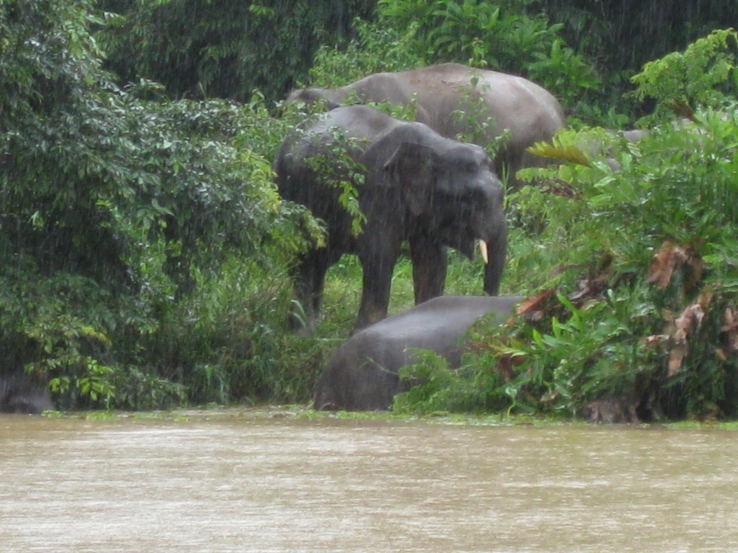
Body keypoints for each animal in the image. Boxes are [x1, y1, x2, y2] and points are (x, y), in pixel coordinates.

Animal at [275, 105, 508, 333]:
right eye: (471, 198)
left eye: (502, 192)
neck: (437, 145)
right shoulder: (376, 192)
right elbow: (380, 255)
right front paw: (364, 332)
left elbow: (432, 260)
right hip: (293, 196)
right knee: (305, 256)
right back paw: (302, 332)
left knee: (322, 258)